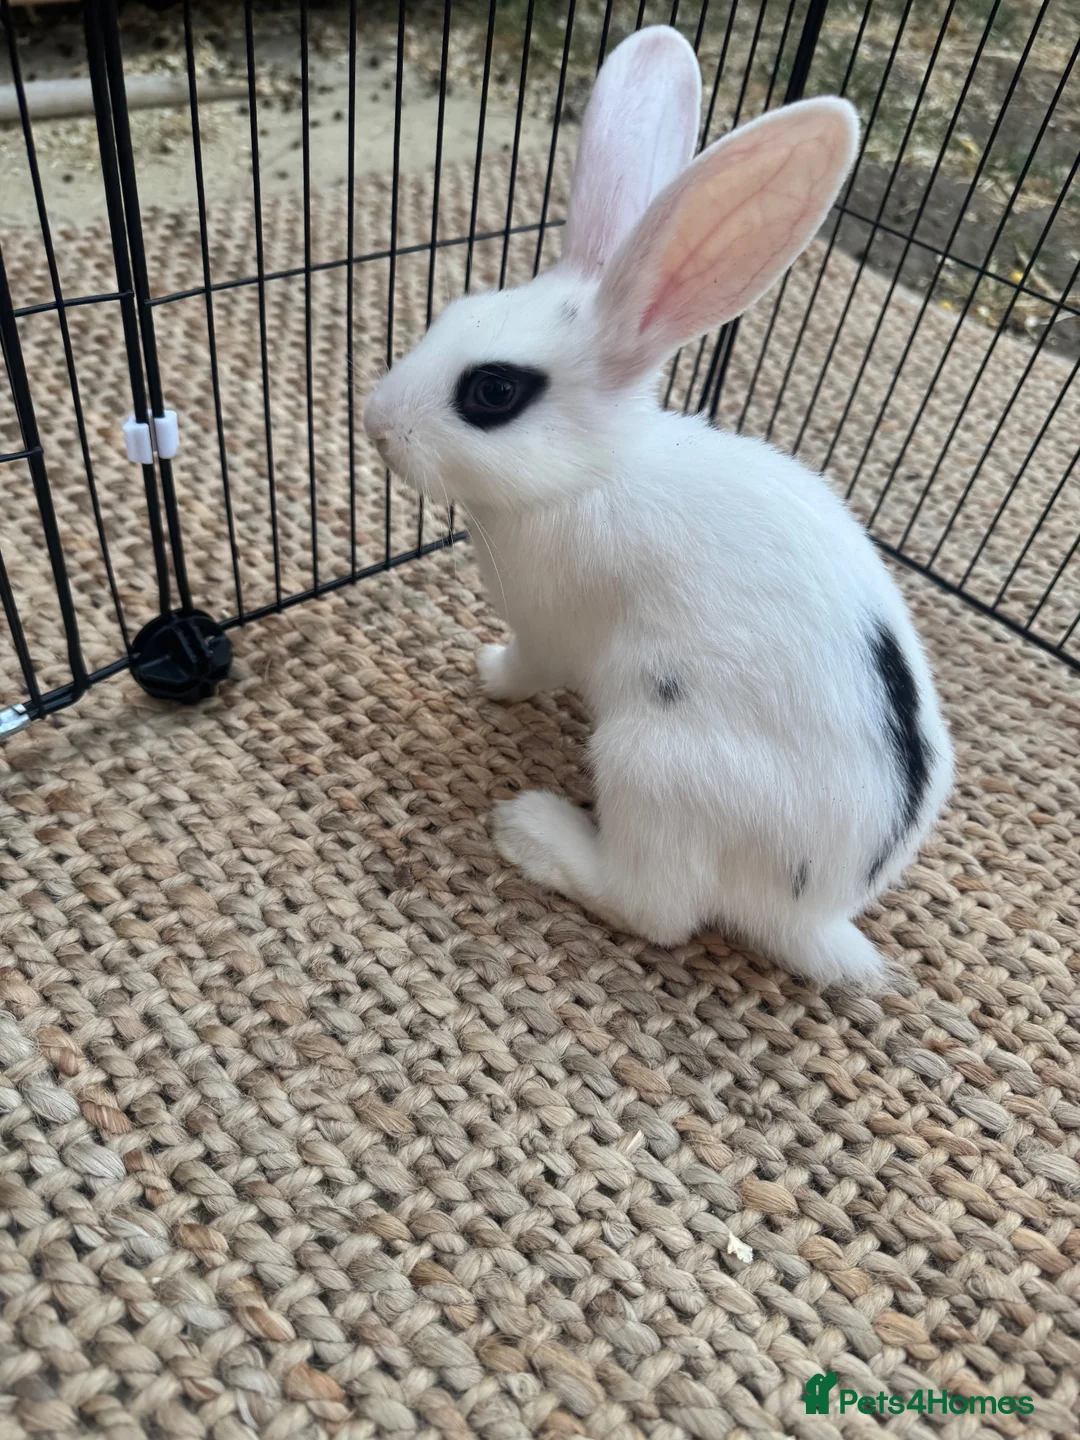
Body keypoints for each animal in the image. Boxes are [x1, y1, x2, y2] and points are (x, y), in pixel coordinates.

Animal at [363, 25, 953, 989]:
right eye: (456, 308)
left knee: (657, 911)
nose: (377, 423)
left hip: (651, 764)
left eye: (493, 392)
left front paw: (487, 675)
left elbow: (527, 664)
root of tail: (815, 913)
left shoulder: (548, 628)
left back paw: (534, 831)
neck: (593, 472)